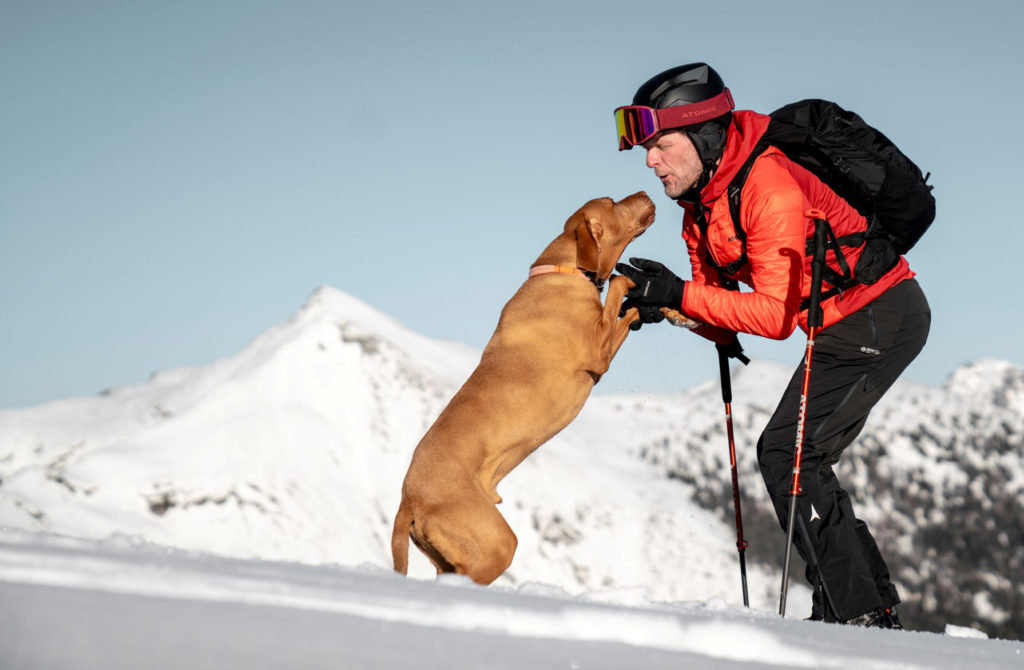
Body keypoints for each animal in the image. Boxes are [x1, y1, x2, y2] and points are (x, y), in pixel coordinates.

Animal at [391, 191, 655, 585]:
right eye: (611, 201)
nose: (645, 192)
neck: (564, 271)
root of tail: (408, 498)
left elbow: (627, 311)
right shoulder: (599, 349)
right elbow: (615, 300)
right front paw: (627, 284)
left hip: (447, 557)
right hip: (495, 543)